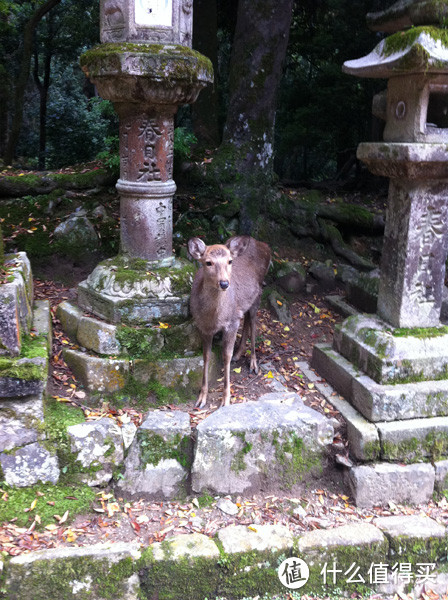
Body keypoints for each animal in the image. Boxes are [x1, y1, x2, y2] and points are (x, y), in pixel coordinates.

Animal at [187, 234, 272, 408]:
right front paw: (201, 398)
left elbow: (225, 356)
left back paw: (253, 363)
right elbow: (206, 356)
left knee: (253, 322)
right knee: (246, 319)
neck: (214, 317)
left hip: (259, 293)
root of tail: (264, 245)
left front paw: (226, 400)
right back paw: (239, 354)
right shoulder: (203, 327)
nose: (224, 283)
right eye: (208, 262)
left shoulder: (231, 324)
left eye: (230, 261)